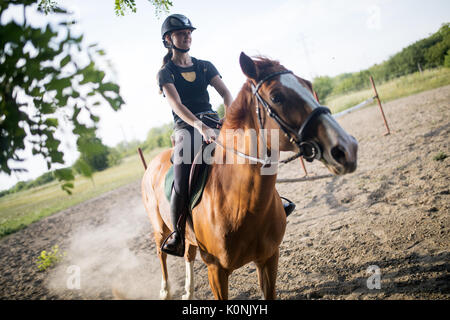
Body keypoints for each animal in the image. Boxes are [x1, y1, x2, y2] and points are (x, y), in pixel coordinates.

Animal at [141, 52, 358, 300]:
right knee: (162, 253)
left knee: (188, 253)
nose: (347, 148)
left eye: (308, 85)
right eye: (276, 97)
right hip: (160, 229)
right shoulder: (216, 270)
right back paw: (166, 290)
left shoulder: (269, 258)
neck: (238, 201)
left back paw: (188, 292)